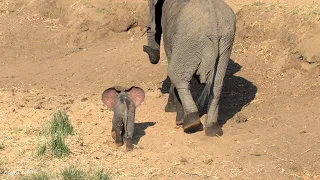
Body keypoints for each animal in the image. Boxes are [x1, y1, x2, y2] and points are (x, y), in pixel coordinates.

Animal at [144, 0, 236, 136]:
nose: (144, 48)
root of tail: (214, 25)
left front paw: (171, 111)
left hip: (189, 40)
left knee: (177, 76)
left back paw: (191, 124)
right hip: (226, 43)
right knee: (217, 84)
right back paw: (213, 130)